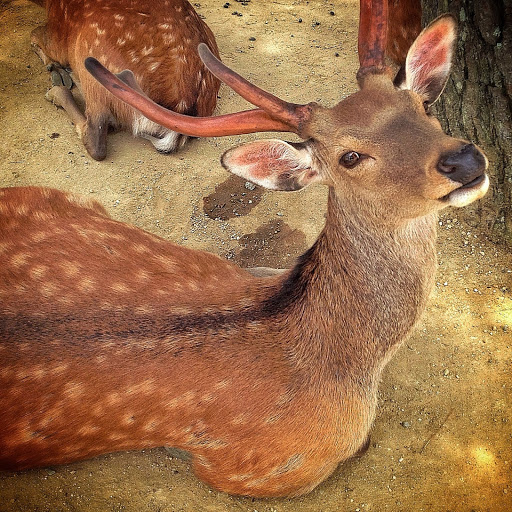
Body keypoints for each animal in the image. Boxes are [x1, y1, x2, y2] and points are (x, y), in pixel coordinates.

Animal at [28, 0, 220, 160]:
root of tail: (185, 108)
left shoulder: (58, 37)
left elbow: (34, 35)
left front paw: (55, 69)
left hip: (92, 55)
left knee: (96, 138)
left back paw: (57, 90)